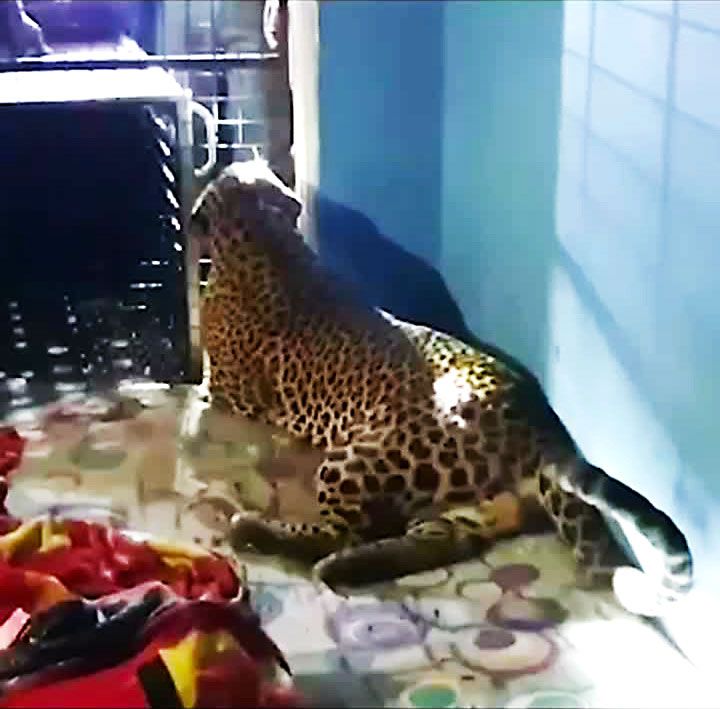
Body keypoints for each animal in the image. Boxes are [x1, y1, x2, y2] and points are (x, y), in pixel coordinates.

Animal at [189, 158, 692, 617]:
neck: (263, 239)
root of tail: (541, 430)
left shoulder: (226, 391)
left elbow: (201, 391)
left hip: (362, 457)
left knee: (343, 530)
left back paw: (259, 531)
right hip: (460, 505)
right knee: (437, 544)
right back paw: (346, 565)